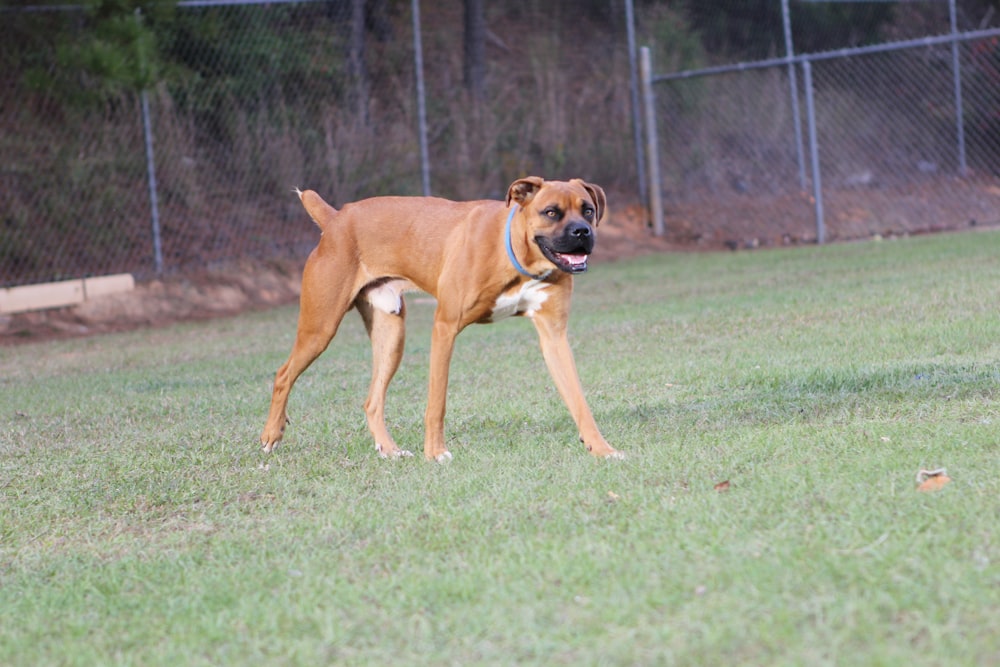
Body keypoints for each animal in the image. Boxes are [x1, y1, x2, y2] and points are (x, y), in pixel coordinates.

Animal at [260, 175, 616, 462]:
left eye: (587, 209)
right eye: (551, 212)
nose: (583, 232)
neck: (515, 252)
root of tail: (336, 218)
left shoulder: (554, 336)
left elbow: (578, 399)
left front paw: (601, 448)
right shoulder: (445, 328)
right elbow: (437, 402)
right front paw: (435, 453)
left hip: (391, 337)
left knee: (372, 401)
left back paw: (390, 450)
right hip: (320, 327)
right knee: (283, 374)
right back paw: (271, 435)